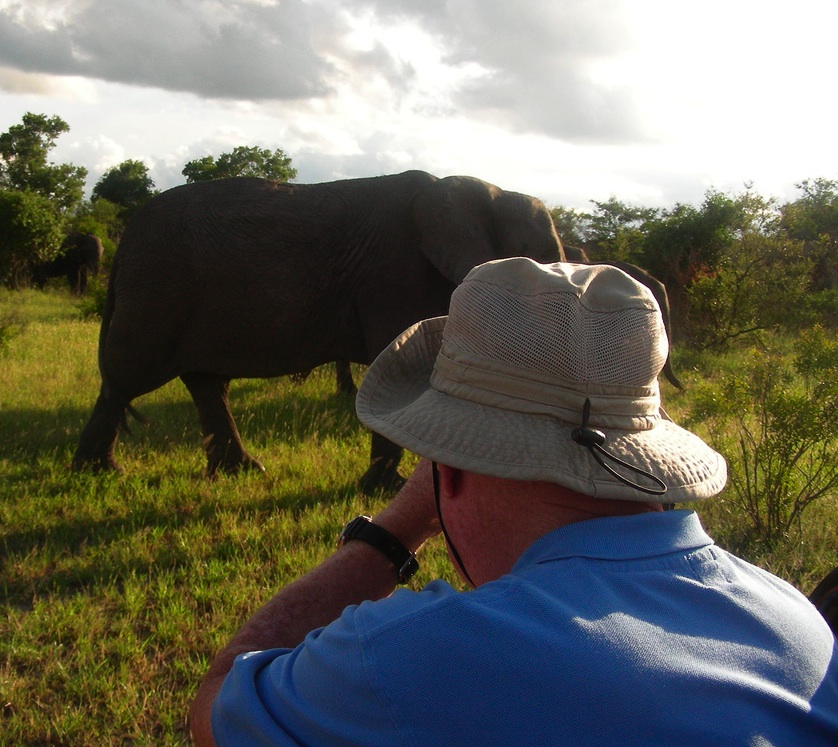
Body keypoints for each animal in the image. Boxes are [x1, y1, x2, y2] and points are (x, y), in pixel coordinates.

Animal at [72, 170, 564, 491]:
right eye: (541, 258)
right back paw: (98, 473)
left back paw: (243, 472)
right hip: (159, 289)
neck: (485, 190)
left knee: (205, 383)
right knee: (129, 375)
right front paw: (385, 490)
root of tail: (127, 235)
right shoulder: (393, 273)